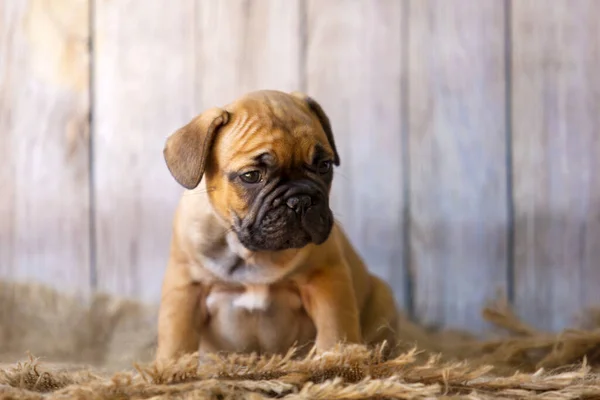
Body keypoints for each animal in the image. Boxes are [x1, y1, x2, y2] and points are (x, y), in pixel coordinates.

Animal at [156, 90, 398, 362]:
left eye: (324, 165)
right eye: (251, 176)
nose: (301, 200)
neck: (251, 253)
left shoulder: (325, 278)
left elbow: (335, 329)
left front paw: (338, 359)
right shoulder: (185, 288)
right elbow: (175, 339)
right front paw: (169, 368)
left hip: (382, 298)